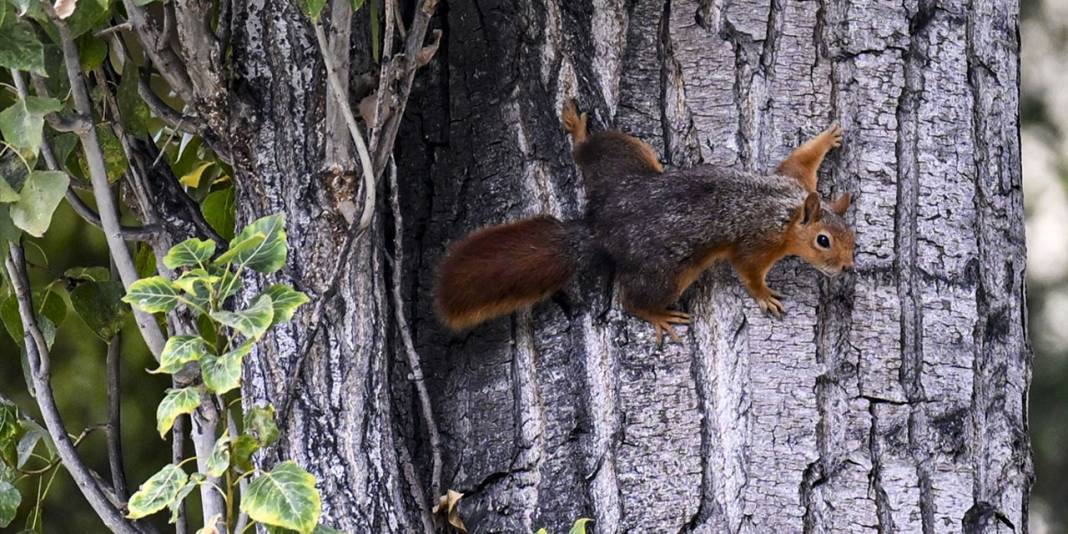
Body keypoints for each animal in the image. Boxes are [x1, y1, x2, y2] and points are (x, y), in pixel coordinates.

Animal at [433, 98, 858, 343]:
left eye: (852, 238)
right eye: (823, 241)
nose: (847, 267)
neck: (787, 212)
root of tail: (600, 227)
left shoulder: (794, 180)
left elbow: (800, 158)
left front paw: (828, 137)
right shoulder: (758, 242)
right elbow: (748, 270)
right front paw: (765, 295)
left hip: (625, 159)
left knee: (588, 152)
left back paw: (578, 129)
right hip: (668, 272)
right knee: (632, 299)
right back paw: (658, 314)